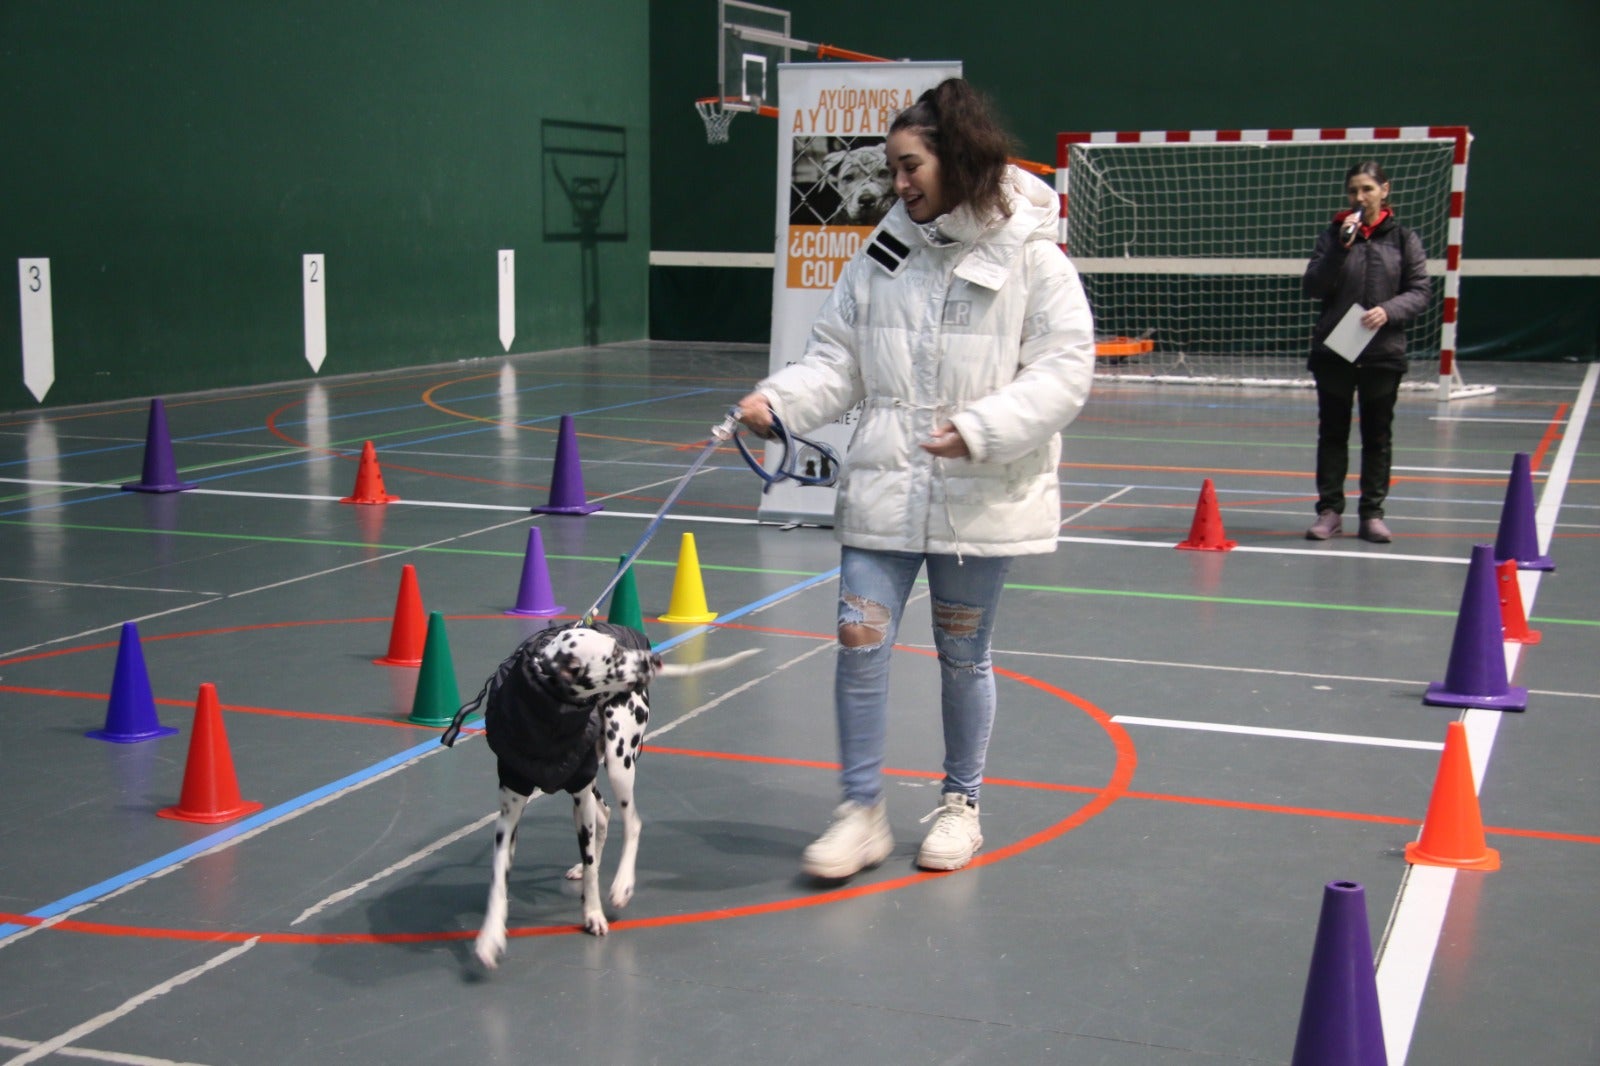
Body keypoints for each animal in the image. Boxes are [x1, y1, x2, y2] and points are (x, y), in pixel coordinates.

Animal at [441, 617, 758, 966]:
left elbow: (593, 867)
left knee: (632, 823)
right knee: (605, 816)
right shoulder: (511, 808)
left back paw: (622, 884)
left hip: (619, 766)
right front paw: (491, 934)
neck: (548, 712)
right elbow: (499, 875)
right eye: (614, 655)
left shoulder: (580, 792)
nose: (655, 659)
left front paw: (592, 914)